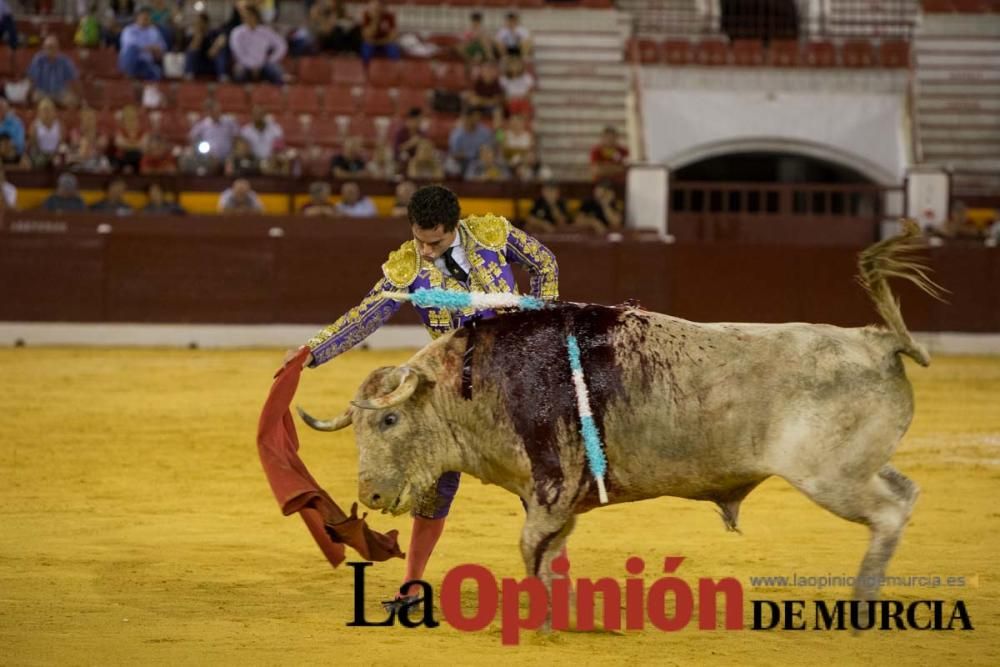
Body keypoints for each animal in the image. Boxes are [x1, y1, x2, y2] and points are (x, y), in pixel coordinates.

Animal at [300, 224, 940, 604]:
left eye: (388, 421)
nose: (370, 494)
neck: (476, 382)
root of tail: (876, 340)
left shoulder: (552, 487)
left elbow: (533, 549)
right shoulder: (552, 497)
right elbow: (549, 550)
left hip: (830, 475)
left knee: (887, 510)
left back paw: (862, 598)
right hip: (857, 467)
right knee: (905, 493)